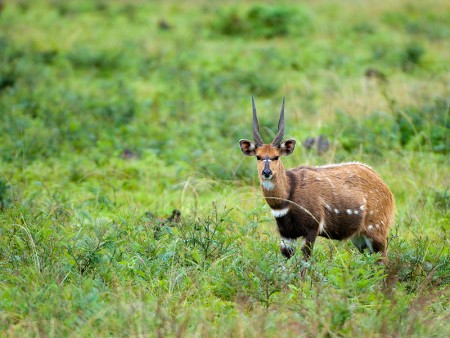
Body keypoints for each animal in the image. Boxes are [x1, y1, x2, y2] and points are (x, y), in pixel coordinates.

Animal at [239, 97, 394, 270]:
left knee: (383, 261)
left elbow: (305, 263)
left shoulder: (311, 229)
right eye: (258, 156)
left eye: (276, 156)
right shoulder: (286, 235)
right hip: (360, 238)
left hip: (377, 231)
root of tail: (385, 188)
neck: (288, 195)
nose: (266, 172)